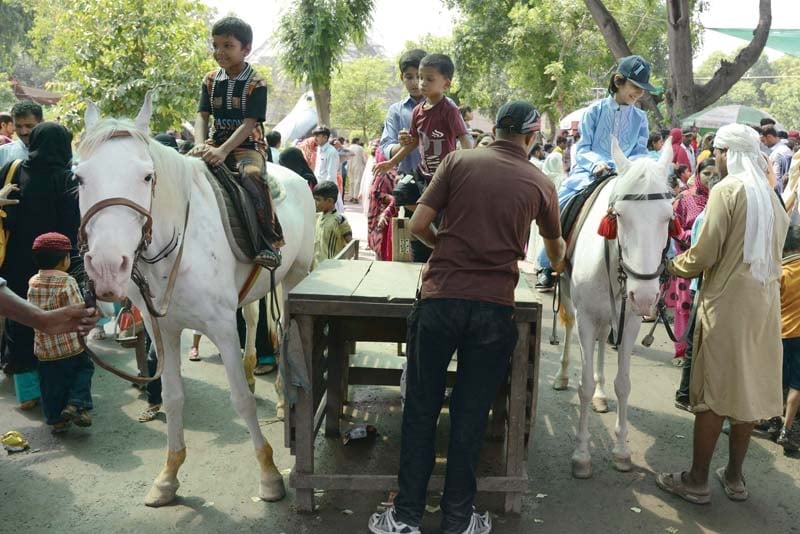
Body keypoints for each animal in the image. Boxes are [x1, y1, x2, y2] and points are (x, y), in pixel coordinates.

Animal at [75, 94, 312, 508]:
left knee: (283, 331)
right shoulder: (163, 329)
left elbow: (240, 401)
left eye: (147, 176)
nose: (106, 267)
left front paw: (269, 474)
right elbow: (173, 398)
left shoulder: (221, 327)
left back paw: (283, 397)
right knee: (253, 317)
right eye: (79, 178)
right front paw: (168, 476)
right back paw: (254, 370)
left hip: (293, 279)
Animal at [552, 140, 676, 480]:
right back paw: (561, 376)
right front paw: (581, 454)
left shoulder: (630, 321)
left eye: (668, 217)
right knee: (569, 327)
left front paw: (621, 451)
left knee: (602, 341)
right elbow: (583, 385)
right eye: (619, 215)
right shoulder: (586, 316)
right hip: (569, 296)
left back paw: (600, 395)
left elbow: (624, 385)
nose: (645, 295)